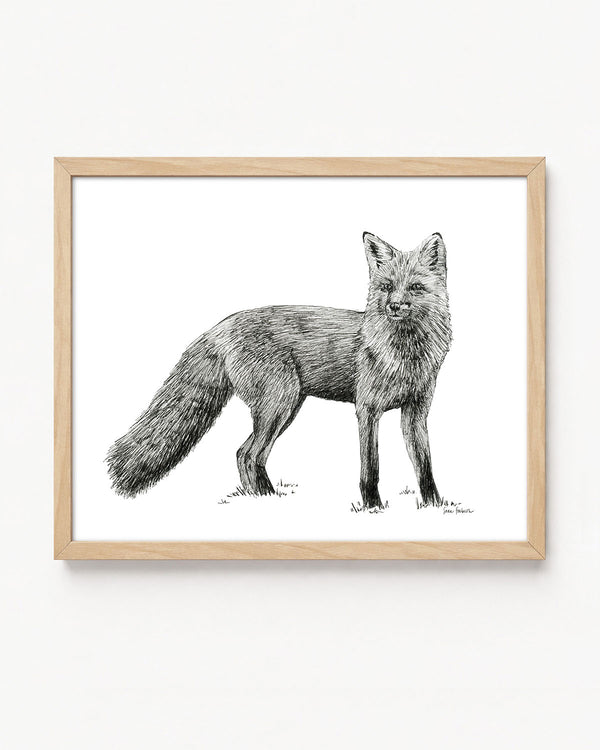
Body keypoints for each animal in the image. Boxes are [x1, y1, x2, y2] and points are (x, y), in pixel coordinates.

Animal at [107, 231, 452, 509]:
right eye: (387, 286)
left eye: (416, 288)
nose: (394, 306)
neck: (406, 355)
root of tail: (219, 327)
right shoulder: (367, 410)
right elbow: (371, 468)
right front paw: (373, 507)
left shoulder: (415, 413)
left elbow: (425, 466)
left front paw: (433, 506)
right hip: (278, 406)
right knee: (248, 454)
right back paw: (268, 501)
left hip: (286, 409)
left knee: (247, 454)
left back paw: (264, 499)